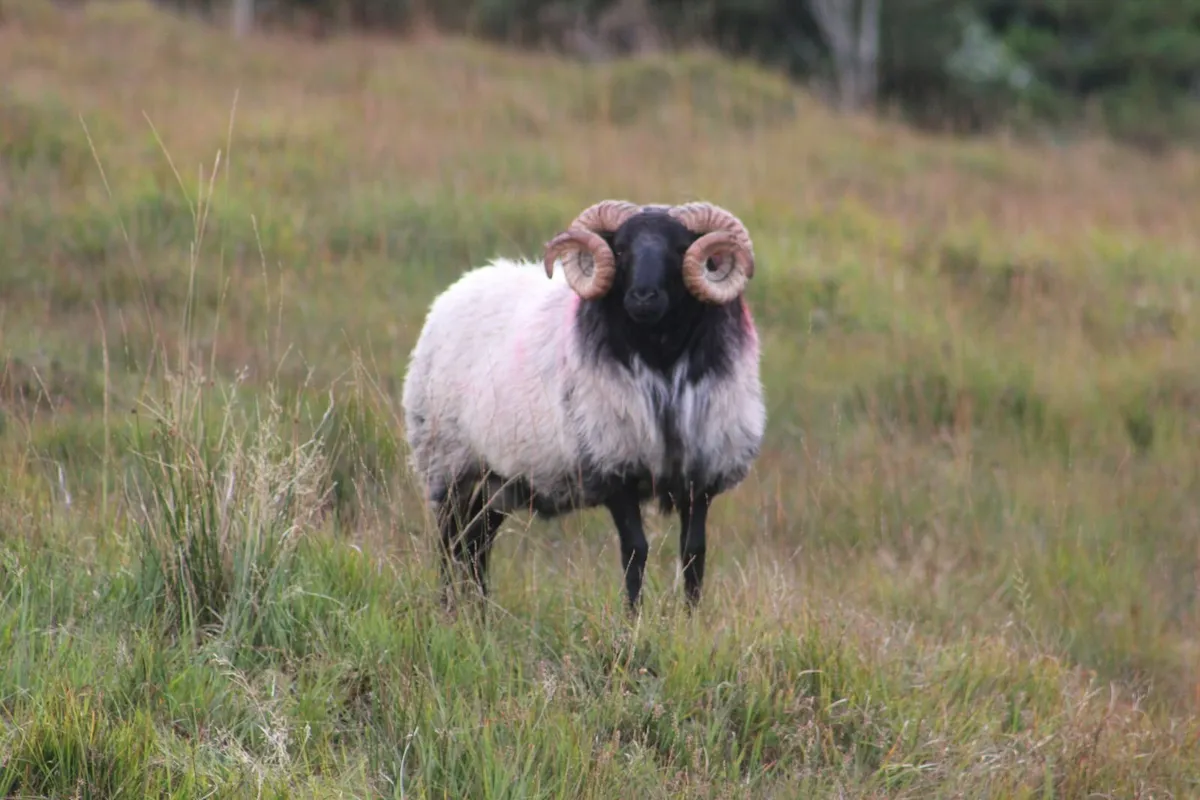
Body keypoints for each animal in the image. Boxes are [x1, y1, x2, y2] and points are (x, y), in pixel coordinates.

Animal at [401, 200, 766, 613]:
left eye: (680, 248)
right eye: (620, 249)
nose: (643, 297)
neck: (661, 360)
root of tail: (457, 289)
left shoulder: (701, 474)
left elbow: (694, 554)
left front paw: (690, 621)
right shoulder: (615, 466)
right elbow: (635, 551)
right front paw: (634, 620)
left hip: (499, 482)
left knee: (477, 543)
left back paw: (481, 613)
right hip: (448, 465)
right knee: (450, 542)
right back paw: (449, 609)